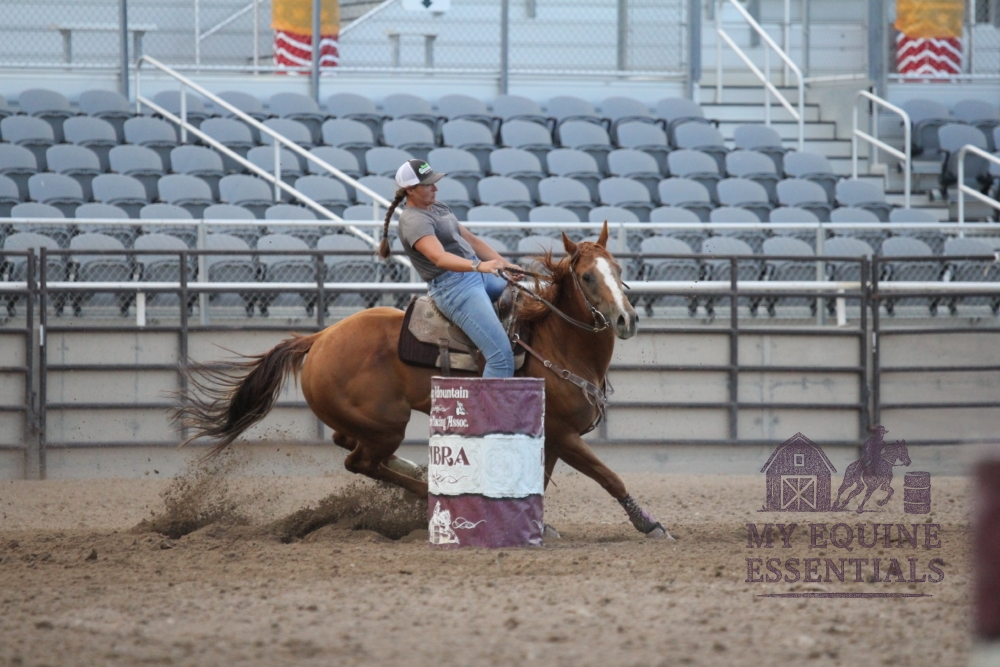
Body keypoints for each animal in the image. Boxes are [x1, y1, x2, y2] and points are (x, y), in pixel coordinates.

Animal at [174, 222, 671, 539]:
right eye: (587, 277)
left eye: (619, 272)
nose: (626, 319)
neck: (553, 344)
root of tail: (319, 338)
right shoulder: (565, 435)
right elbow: (609, 478)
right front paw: (649, 524)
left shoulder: (551, 439)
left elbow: (541, 480)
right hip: (386, 426)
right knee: (359, 462)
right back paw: (426, 490)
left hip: (366, 424)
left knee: (348, 446)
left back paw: (421, 474)